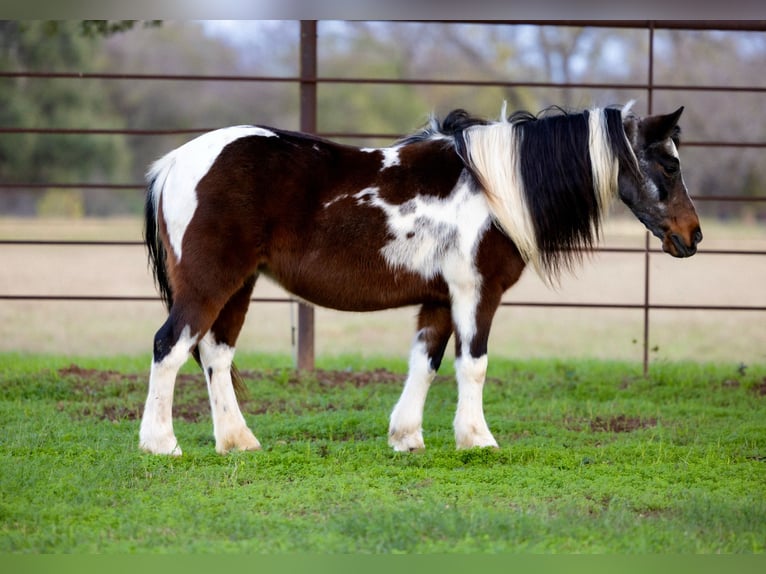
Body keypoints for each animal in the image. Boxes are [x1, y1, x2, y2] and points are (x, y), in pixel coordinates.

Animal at [140, 102, 702, 456]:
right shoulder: (476, 294)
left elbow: (425, 363)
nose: (692, 235)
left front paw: (406, 437)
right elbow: (473, 365)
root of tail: (175, 162)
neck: (492, 190)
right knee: (169, 346)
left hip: (239, 285)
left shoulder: (439, 299)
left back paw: (237, 442)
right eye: (670, 166)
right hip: (210, 283)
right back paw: (161, 444)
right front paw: (477, 438)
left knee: (215, 354)